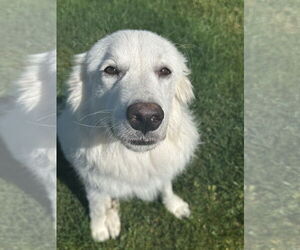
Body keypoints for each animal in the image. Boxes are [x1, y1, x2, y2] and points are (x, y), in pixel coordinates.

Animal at [58, 30, 199, 241]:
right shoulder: (92, 182)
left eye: (165, 71)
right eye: (111, 70)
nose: (146, 117)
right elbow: (97, 206)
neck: (135, 158)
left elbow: (166, 186)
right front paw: (98, 228)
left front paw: (174, 205)